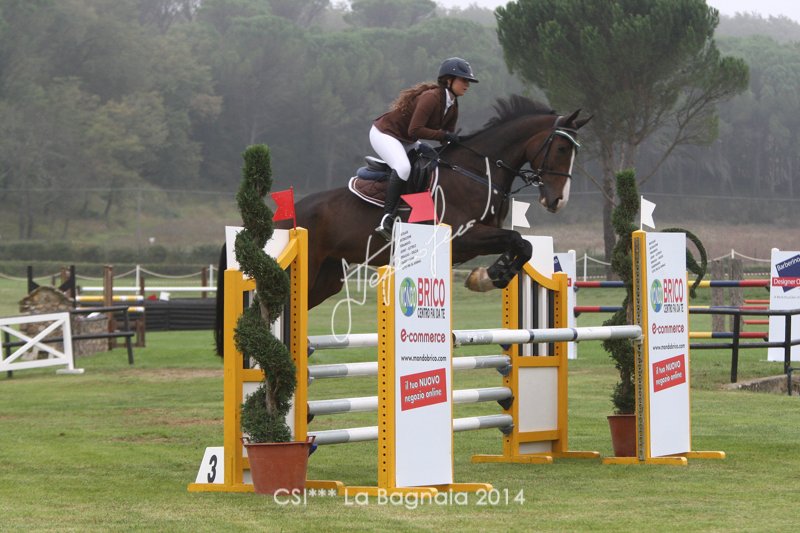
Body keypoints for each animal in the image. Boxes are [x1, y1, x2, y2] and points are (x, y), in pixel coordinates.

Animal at [215, 95, 591, 356]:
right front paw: (489, 276)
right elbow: (517, 240)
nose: (557, 202)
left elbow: (521, 245)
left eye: (574, 152)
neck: (475, 172)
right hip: (304, 271)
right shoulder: (463, 238)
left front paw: (488, 276)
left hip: (326, 279)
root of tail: (284, 217)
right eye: (560, 148)